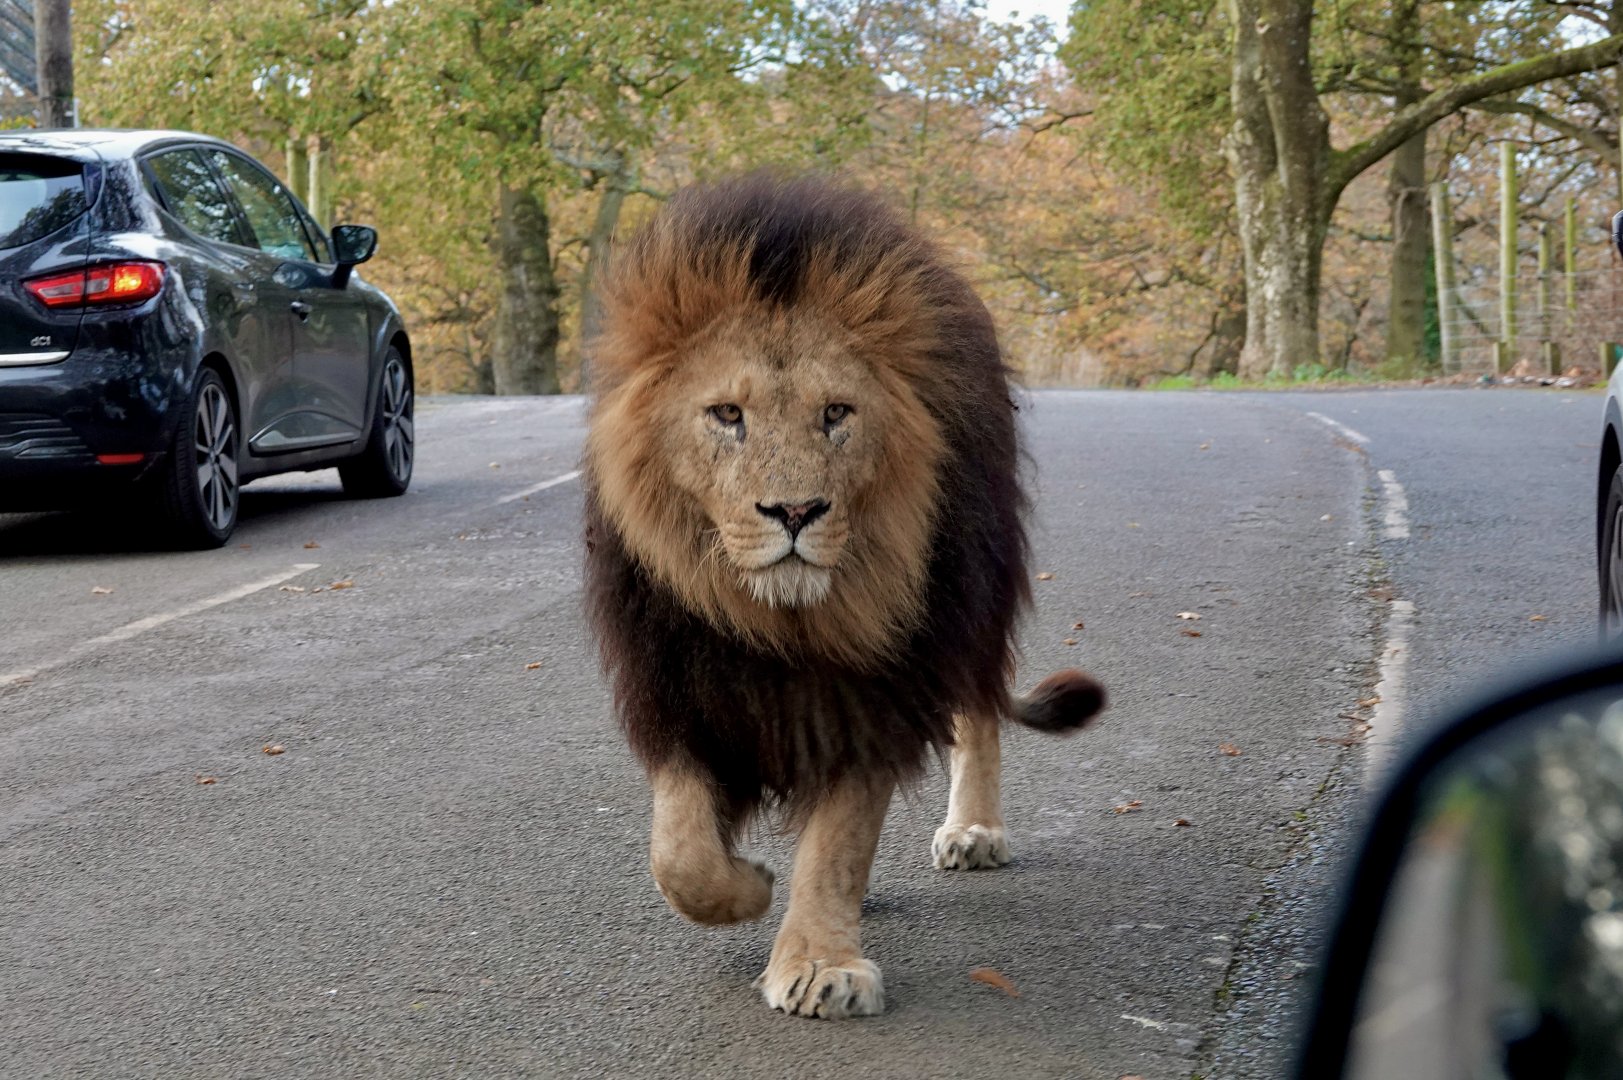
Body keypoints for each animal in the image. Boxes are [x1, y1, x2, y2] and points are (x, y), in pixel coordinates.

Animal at [582, 174, 1106, 1020]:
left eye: (835, 413)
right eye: (726, 414)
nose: (794, 512)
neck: (786, 618)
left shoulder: (876, 692)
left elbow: (840, 838)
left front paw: (819, 962)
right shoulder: (679, 686)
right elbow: (680, 855)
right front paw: (750, 888)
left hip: (972, 598)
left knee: (977, 711)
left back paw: (973, 830)